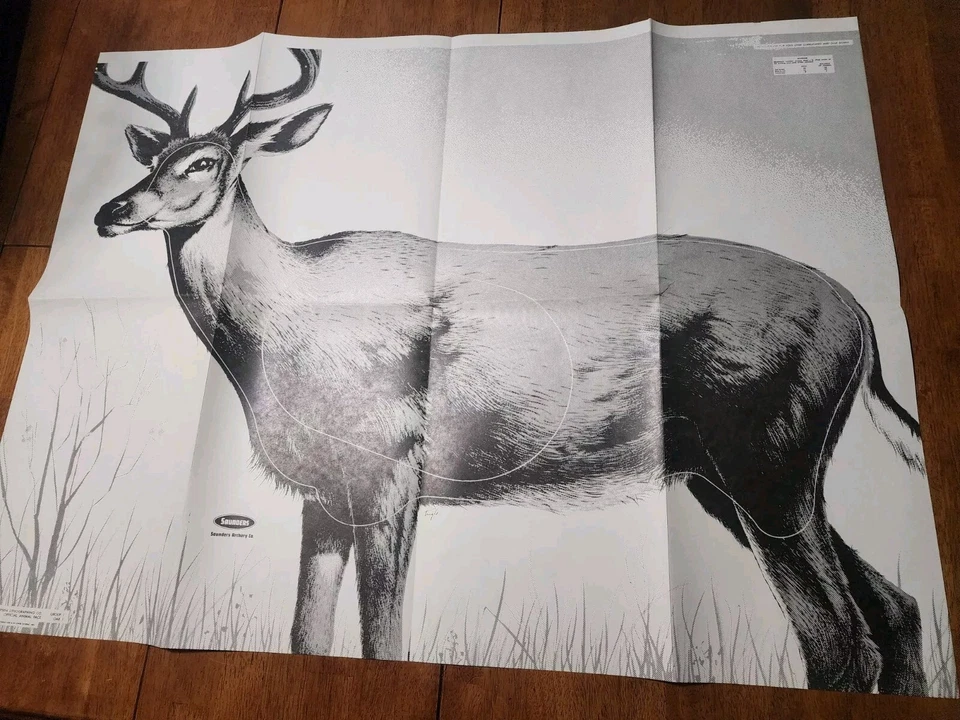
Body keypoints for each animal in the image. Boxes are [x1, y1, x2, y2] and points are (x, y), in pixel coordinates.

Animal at [90, 48, 928, 694]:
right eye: (151, 157)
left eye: (204, 161)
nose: (109, 211)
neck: (287, 327)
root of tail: (864, 320)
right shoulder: (325, 492)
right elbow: (306, 635)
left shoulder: (392, 469)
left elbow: (384, 639)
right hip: (741, 476)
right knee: (897, 607)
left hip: (767, 457)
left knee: (841, 639)